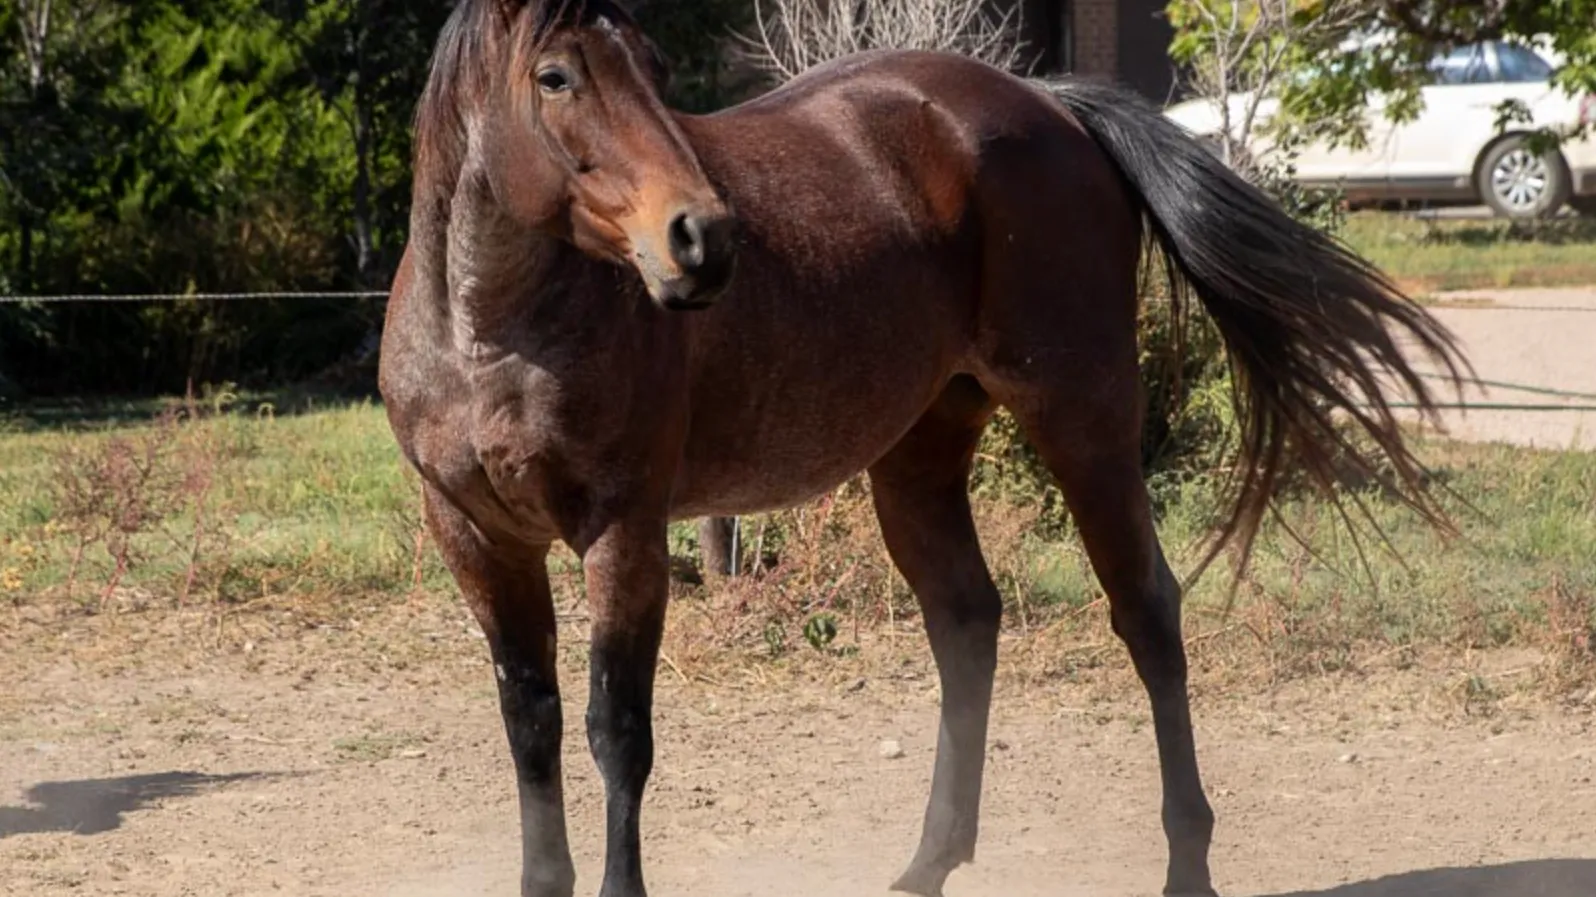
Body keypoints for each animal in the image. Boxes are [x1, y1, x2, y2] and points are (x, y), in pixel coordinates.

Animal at [376, 1, 1467, 895]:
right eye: (556, 75)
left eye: (651, 64)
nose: (702, 239)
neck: (492, 333)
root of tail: (1053, 104)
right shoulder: (476, 538)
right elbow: (531, 723)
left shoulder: (624, 533)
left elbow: (616, 730)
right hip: (917, 454)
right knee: (967, 621)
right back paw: (931, 862)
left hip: (1083, 421)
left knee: (1146, 613)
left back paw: (1185, 865)